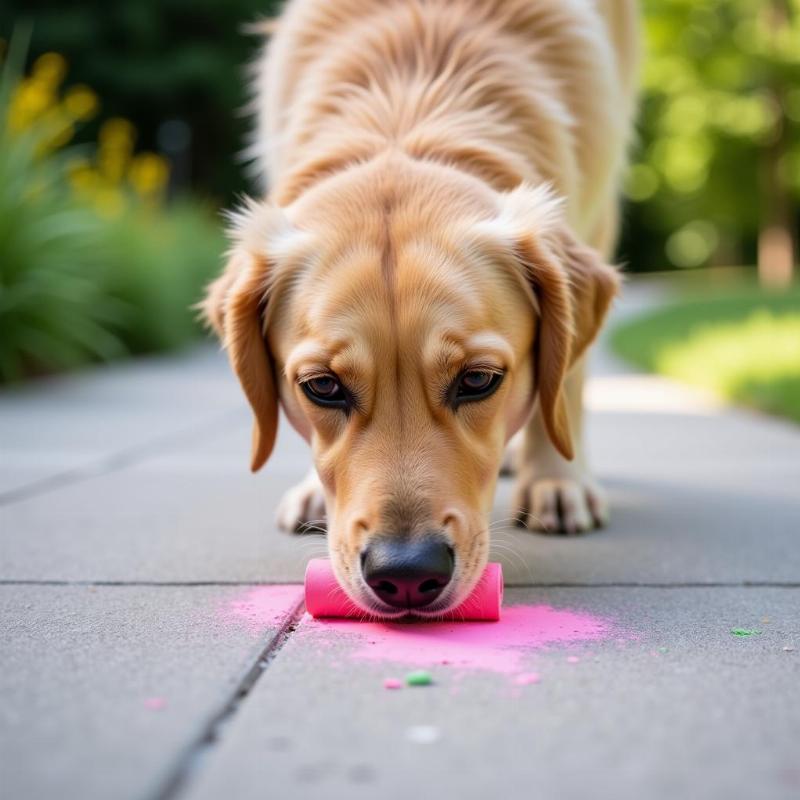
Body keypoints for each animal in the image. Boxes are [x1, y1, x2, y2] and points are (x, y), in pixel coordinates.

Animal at [203, 0, 640, 620]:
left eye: (479, 380)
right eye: (322, 387)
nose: (407, 575)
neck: (407, 106)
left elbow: (566, 385)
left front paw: (559, 477)